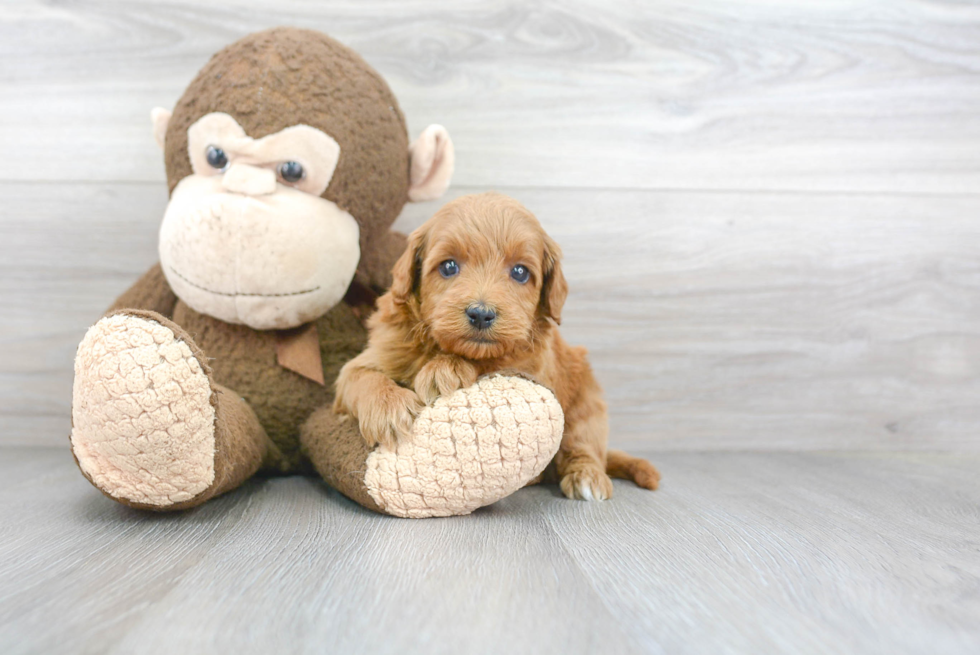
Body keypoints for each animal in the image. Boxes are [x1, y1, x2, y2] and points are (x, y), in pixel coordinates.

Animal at [334, 192, 664, 500]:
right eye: (448, 267)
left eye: (520, 272)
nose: (481, 314)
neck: (438, 345)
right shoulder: (376, 354)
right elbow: (359, 377)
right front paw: (390, 408)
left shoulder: (527, 364)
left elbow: (491, 361)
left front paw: (444, 369)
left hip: (587, 401)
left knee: (584, 444)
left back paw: (587, 476)